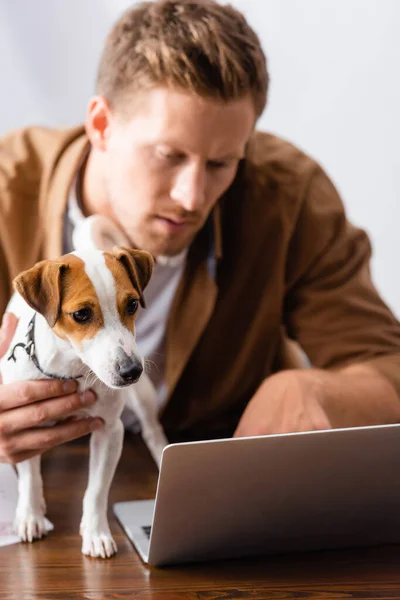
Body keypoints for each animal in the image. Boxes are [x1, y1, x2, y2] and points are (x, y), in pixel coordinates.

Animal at [0, 244, 169, 556]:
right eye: (81, 314)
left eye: (132, 305)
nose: (131, 371)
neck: (73, 369)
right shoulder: (26, 424)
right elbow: (30, 477)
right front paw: (30, 515)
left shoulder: (110, 431)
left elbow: (97, 490)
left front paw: (96, 532)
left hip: (143, 399)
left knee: (154, 434)